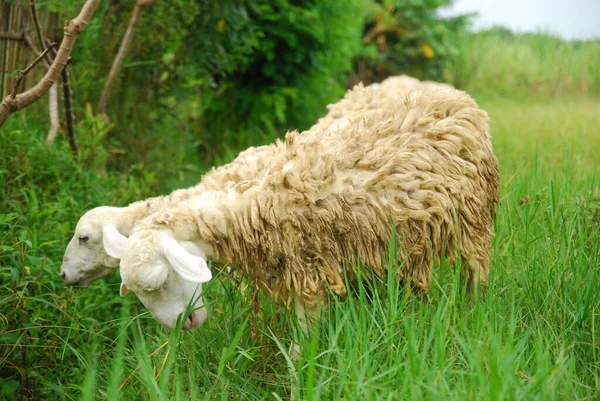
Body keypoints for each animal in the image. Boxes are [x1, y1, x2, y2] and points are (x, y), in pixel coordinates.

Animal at [110, 84, 500, 332]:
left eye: (162, 280)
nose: (183, 325)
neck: (257, 205)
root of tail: (459, 99)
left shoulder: (308, 269)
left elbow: (302, 348)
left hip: (475, 217)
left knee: (475, 271)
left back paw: (474, 313)